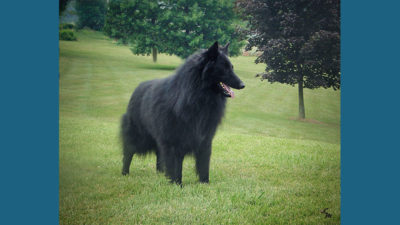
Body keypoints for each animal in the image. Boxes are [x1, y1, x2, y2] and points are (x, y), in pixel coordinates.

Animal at [120, 41, 244, 184]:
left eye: (232, 67)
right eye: (224, 68)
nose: (243, 85)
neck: (197, 96)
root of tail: (137, 88)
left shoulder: (205, 139)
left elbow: (204, 163)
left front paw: (205, 183)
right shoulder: (174, 141)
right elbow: (176, 166)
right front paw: (176, 184)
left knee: (159, 154)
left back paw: (161, 173)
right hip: (138, 136)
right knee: (128, 153)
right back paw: (124, 173)